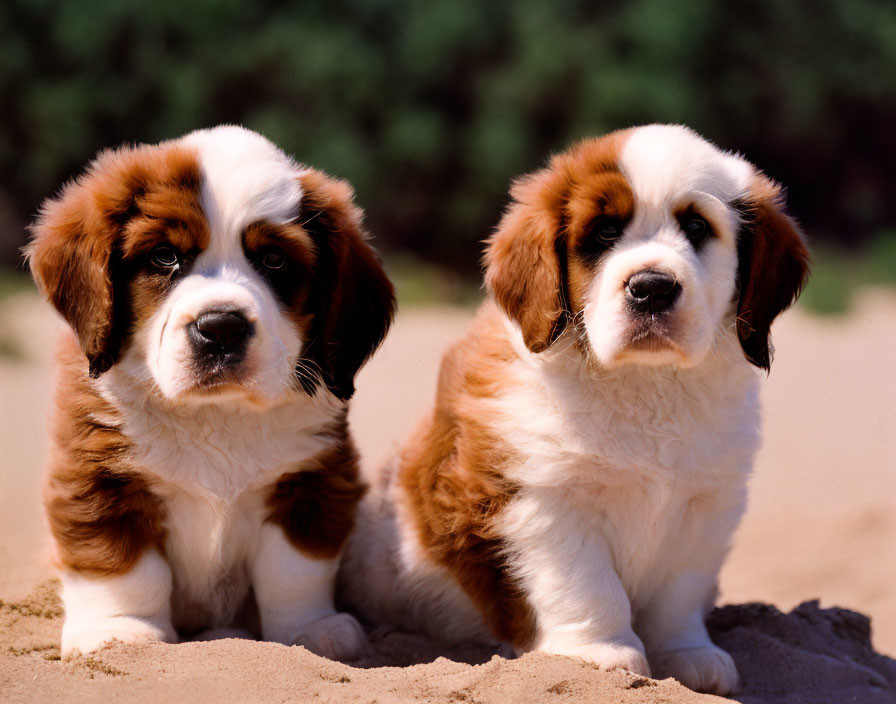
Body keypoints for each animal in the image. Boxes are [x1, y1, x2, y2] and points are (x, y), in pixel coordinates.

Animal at [28, 126, 394, 660]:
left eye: (274, 260)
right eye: (165, 256)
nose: (221, 328)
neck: (215, 414)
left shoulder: (311, 480)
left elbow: (294, 570)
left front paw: (310, 629)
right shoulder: (98, 480)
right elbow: (122, 566)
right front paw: (120, 631)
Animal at [338, 125, 812, 692]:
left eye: (697, 227)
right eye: (604, 233)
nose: (652, 288)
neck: (644, 382)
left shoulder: (708, 504)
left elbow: (679, 592)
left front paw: (688, 654)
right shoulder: (542, 501)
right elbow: (587, 583)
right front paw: (601, 654)